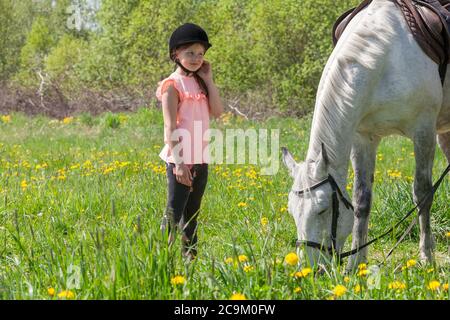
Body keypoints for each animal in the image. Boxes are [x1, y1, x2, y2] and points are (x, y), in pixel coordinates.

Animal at [284, 0, 448, 270]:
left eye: (322, 210)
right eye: (292, 212)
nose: (310, 269)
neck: (387, 57)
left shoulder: (423, 130)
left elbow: (422, 193)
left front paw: (426, 256)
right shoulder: (363, 138)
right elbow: (362, 200)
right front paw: (356, 262)